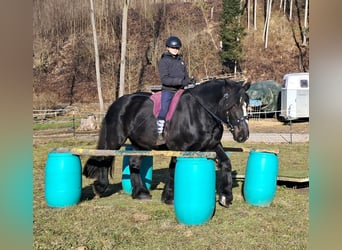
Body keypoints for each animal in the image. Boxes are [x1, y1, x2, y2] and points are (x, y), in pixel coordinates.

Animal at [84, 79, 250, 208]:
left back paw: (140, 193)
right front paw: (169, 197)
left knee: (134, 162)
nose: (243, 134)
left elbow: (226, 163)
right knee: (105, 157)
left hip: (140, 144)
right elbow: (173, 169)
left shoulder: (212, 145)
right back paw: (100, 187)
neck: (199, 112)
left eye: (246, 104)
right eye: (233, 104)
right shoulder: (179, 148)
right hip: (115, 139)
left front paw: (225, 197)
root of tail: (119, 102)